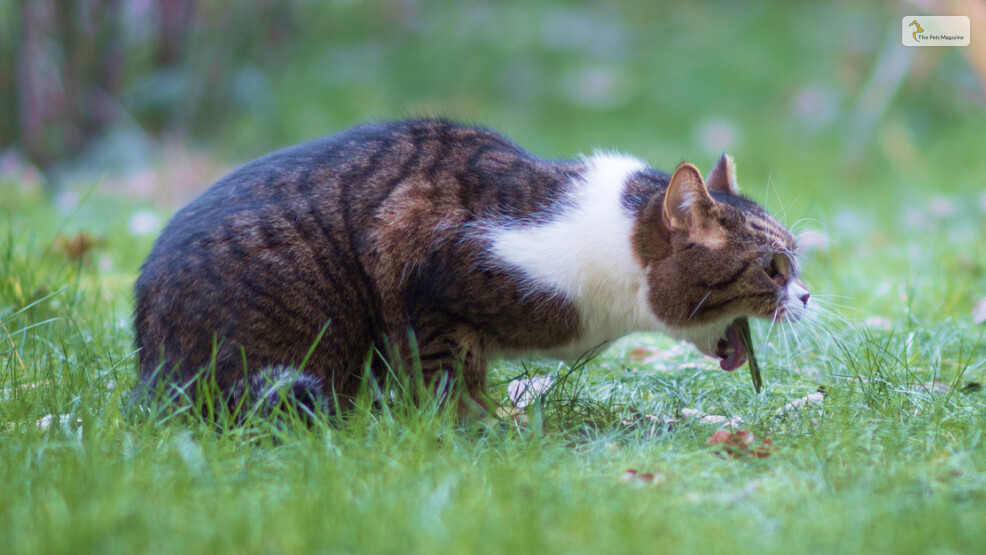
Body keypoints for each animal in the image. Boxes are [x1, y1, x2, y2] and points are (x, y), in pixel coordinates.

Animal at [133, 120, 808, 416]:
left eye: (795, 260)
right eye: (774, 268)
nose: (805, 295)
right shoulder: (422, 267)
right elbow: (449, 374)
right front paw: (478, 430)